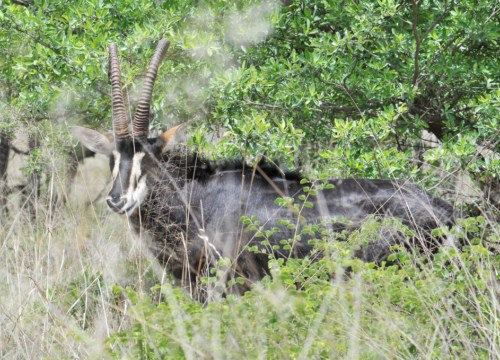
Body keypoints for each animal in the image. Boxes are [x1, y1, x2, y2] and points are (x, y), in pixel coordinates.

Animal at [71, 38, 458, 298]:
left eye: (148, 159)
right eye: (113, 158)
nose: (117, 200)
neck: (194, 198)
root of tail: (444, 209)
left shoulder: (221, 284)